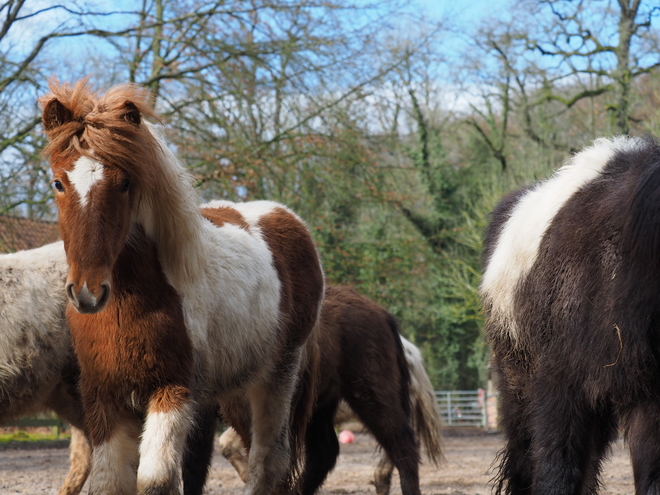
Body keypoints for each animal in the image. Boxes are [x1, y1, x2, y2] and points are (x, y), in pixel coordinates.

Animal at [40, 80, 324, 495]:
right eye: (58, 183)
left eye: (125, 183)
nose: (88, 292)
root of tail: (290, 220)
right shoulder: (105, 397)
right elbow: (110, 482)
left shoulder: (172, 391)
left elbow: (155, 480)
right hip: (232, 387)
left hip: (277, 376)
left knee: (269, 459)